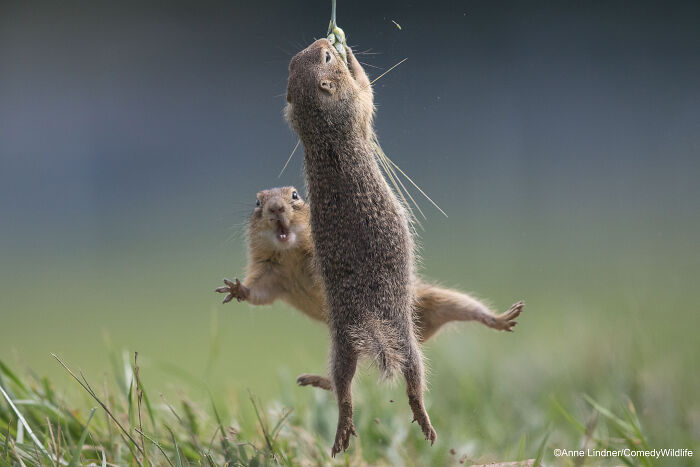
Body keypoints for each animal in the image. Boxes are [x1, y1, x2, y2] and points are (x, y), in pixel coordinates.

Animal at [216, 187, 524, 392]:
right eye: (258, 201)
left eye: (294, 195)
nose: (276, 209)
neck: (290, 253)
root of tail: (416, 333)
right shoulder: (270, 275)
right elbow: (259, 294)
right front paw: (237, 288)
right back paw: (319, 380)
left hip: (436, 299)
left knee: (470, 309)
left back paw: (501, 318)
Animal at [284, 39, 434, 454]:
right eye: (325, 58)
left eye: (293, 64)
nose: (324, 42)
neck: (317, 125)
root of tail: (368, 319)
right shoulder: (356, 106)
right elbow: (367, 93)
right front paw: (350, 55)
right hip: (405, 336)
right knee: (413, 378)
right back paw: (423, 421)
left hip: (341, 344)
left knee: (344, 386)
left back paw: (341, 431)